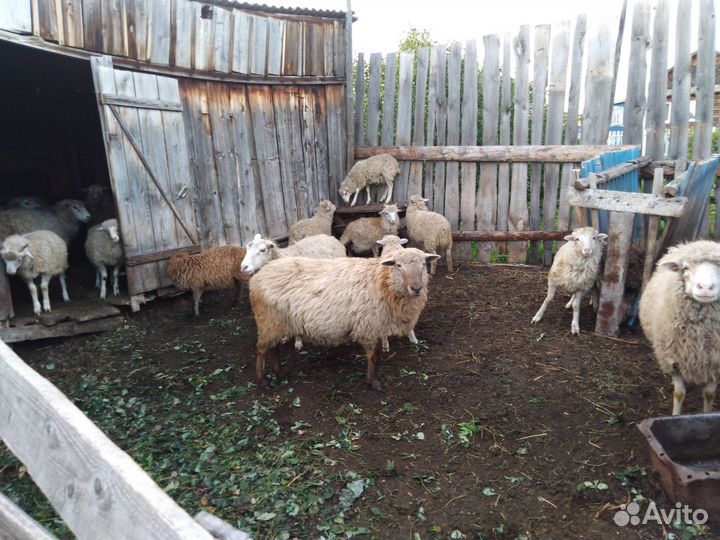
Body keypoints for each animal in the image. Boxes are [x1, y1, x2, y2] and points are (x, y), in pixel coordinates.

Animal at [249, 248, 440, 390]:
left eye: (423, 264)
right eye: (398, 265)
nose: (416, 288)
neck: (383, 283)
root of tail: (258, 276)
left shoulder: (377, 325)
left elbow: (376, 354)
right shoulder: (368, 326)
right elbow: (373, 356)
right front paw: (374, 383)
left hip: (276, 323)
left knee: (273, 349)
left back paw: (280, 374)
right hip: (268, 320)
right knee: (261, 349)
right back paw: (262, 381)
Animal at [639, 240, 720, 415]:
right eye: (686, 268)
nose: (705, 287)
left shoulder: (715, 363)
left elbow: (709, 394)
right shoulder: (673, 358)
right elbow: (679, 393)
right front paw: (675, 416)